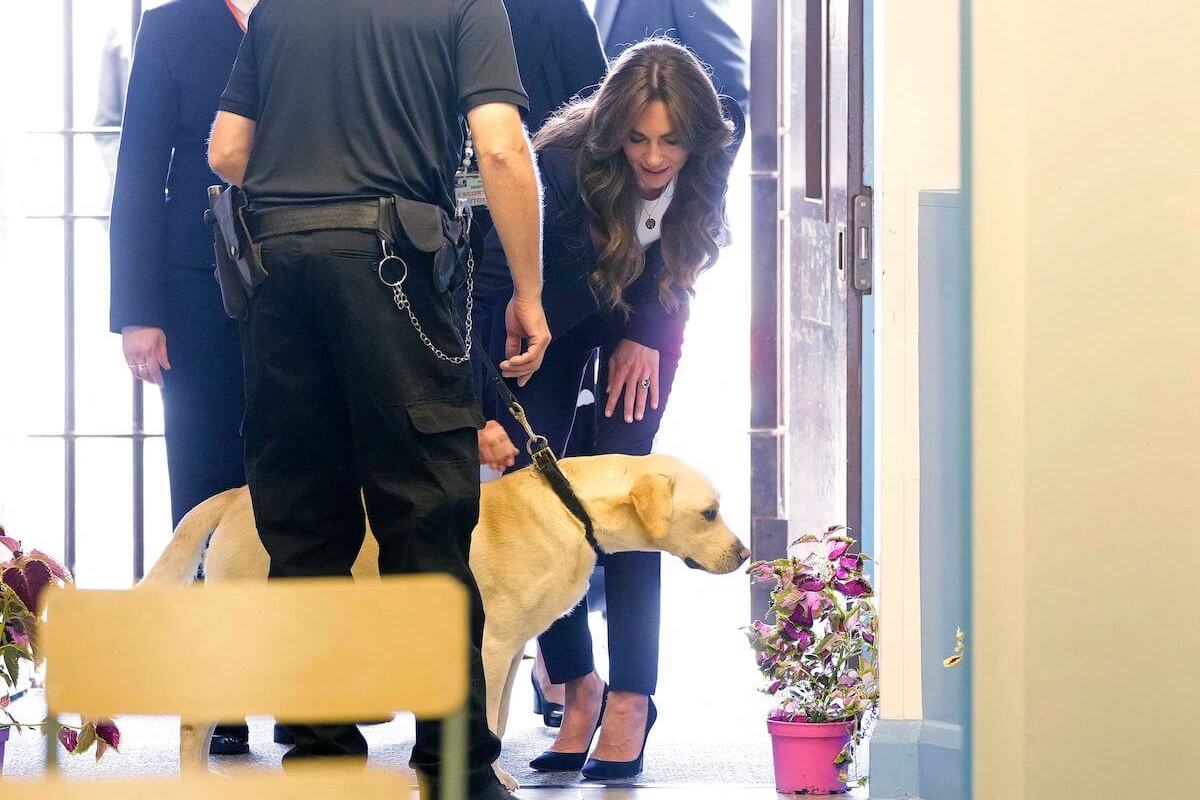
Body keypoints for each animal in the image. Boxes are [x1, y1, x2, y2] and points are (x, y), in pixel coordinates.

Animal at [142, 453, 748, 786]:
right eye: (709, 513)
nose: (744, 554)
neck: (572, 506)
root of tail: (233, 496)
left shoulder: (511, 650)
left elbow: (500, 718)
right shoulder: (491, 646)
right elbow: (487, 722)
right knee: (195, 717)